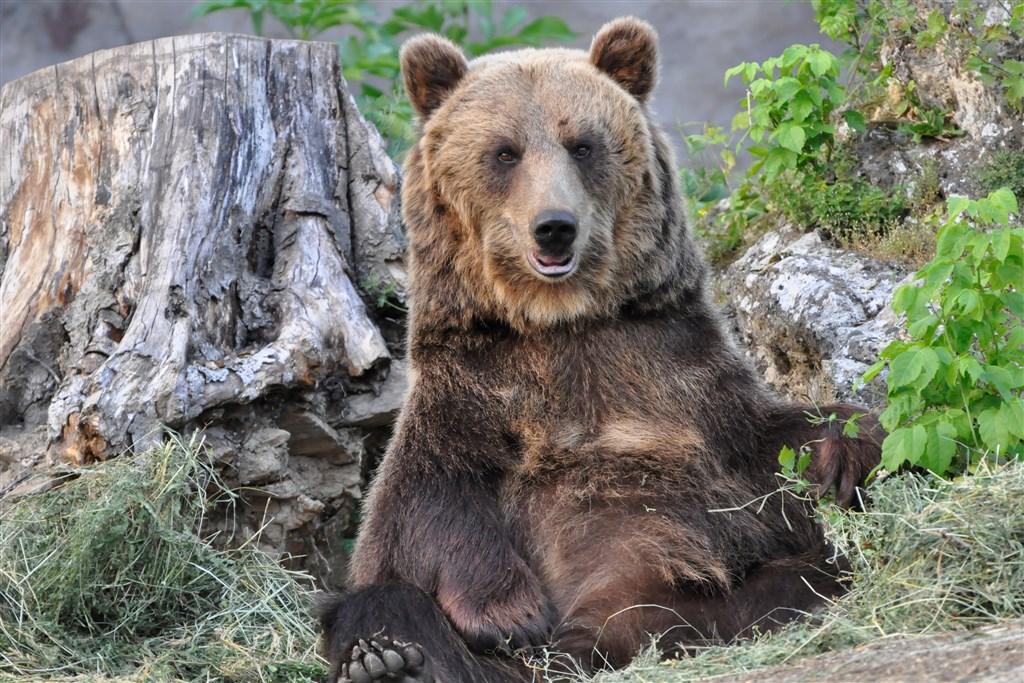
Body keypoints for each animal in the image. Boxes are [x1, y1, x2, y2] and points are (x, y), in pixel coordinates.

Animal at [317, 15, 880, 683]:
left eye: (581, 144)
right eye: (504, 151)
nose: (554, 227)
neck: (561, 322)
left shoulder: (676, 374)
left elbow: (775, 440)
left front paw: (844, 452)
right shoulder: (472, 391)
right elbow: (424, 507)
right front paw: (508, 613)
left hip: (710, 593)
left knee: (800, 576)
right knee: (383, 606)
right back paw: (391, 659)